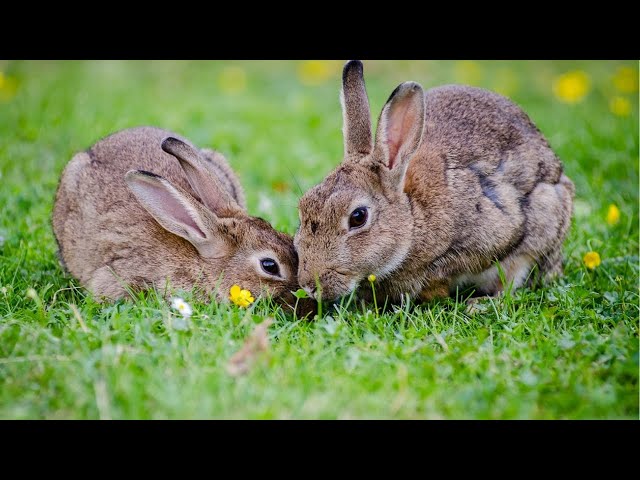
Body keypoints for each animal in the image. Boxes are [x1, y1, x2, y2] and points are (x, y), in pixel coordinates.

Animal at [294, 60, 575, 305]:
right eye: (303, 208)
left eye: (358, 217)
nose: (309, 285)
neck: (412, 218)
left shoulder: (492, 234)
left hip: (545, 217)